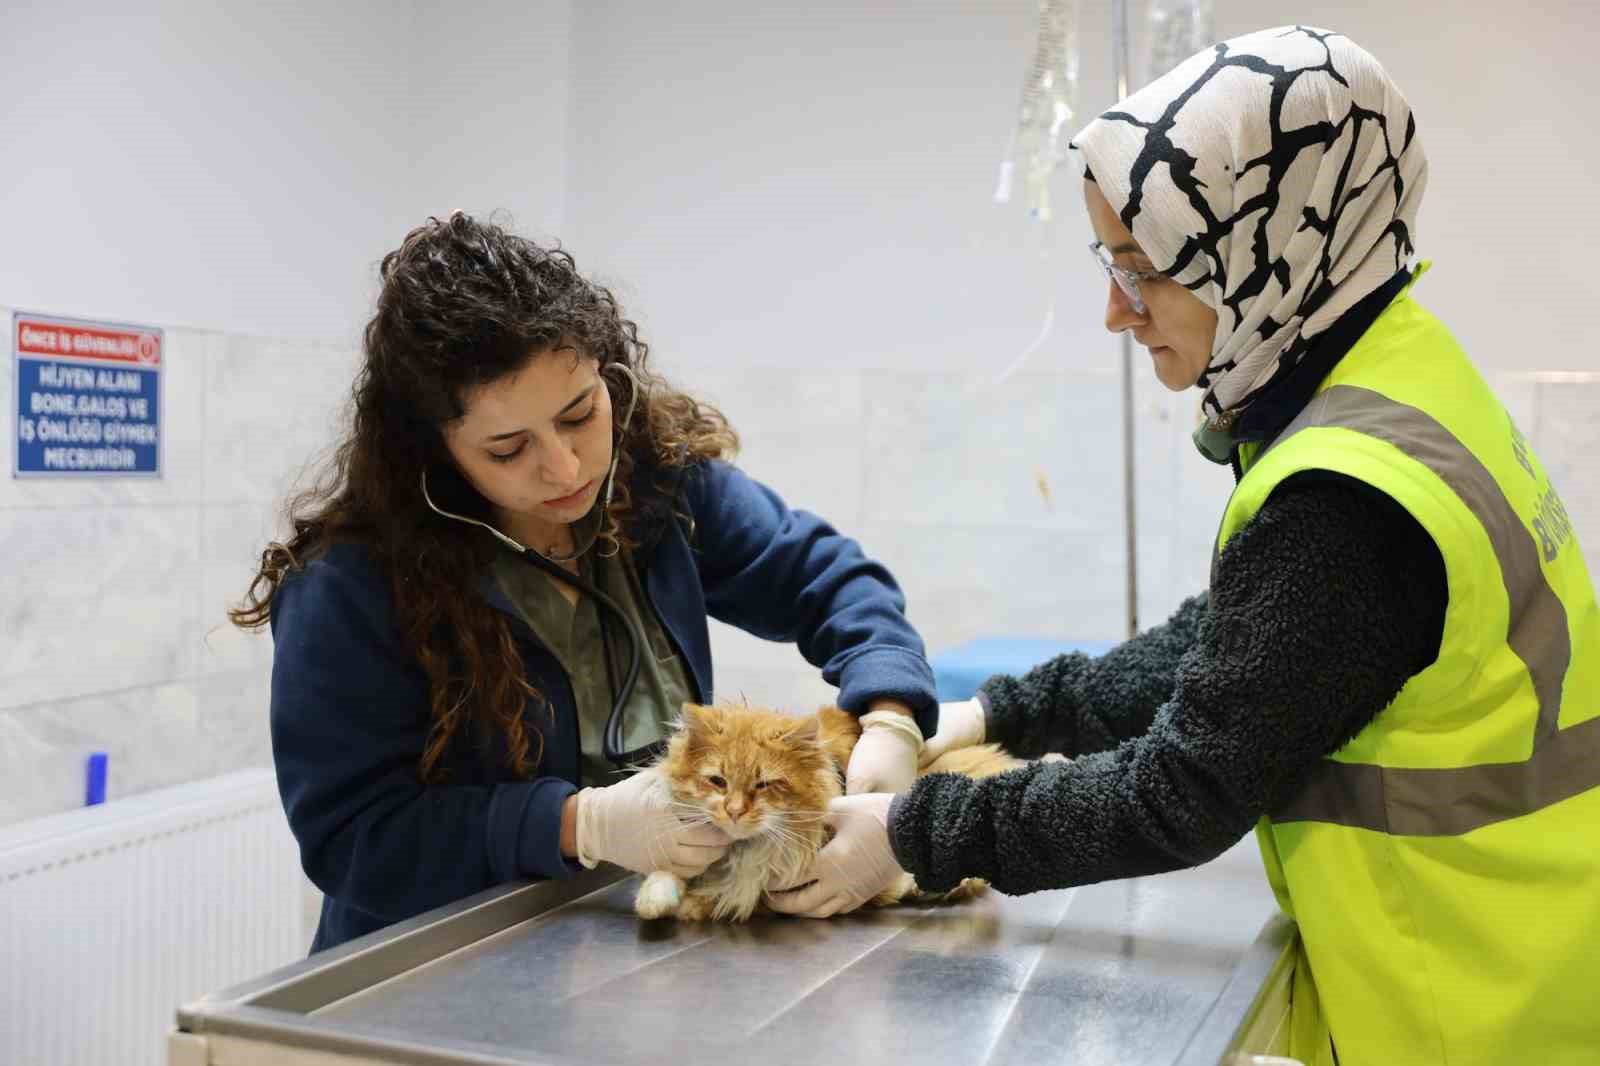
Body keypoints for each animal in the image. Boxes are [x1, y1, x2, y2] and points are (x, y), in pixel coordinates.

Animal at [627, 701, 1024, 915]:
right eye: (717, 781)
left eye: (764, 784)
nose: (735, 811)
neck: (745, 851)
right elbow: (671, 877)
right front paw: (654, 898)